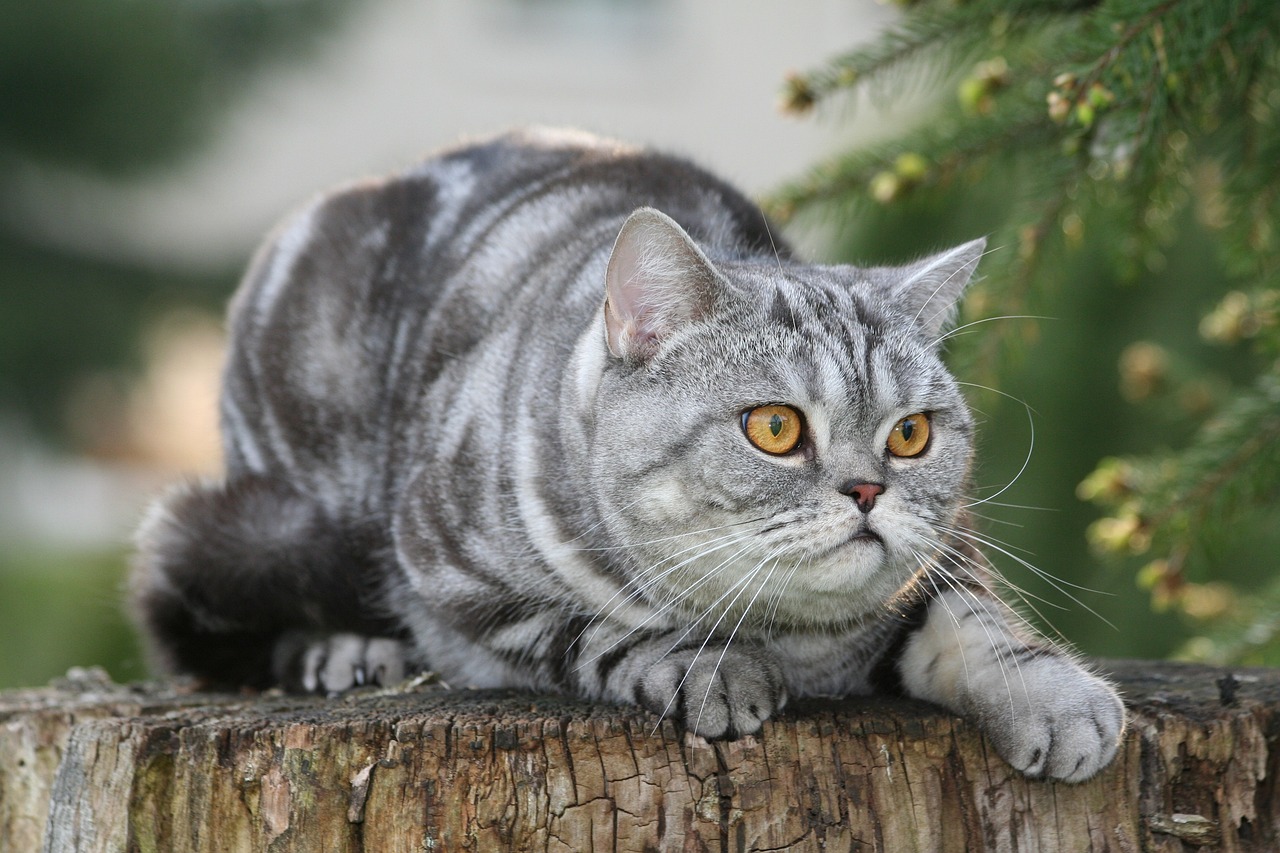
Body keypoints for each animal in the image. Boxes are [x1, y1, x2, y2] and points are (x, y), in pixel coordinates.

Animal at [129, 124, 1121, 778]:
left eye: (910, 435)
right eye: (775, 427)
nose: (869, 490)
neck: (797, 639)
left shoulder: (942, 555)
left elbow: (980, 618)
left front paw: (1058, 698)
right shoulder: (452, 570)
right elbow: (598, 628)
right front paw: (707, 665)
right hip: (289, 501)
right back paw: (347, 651)